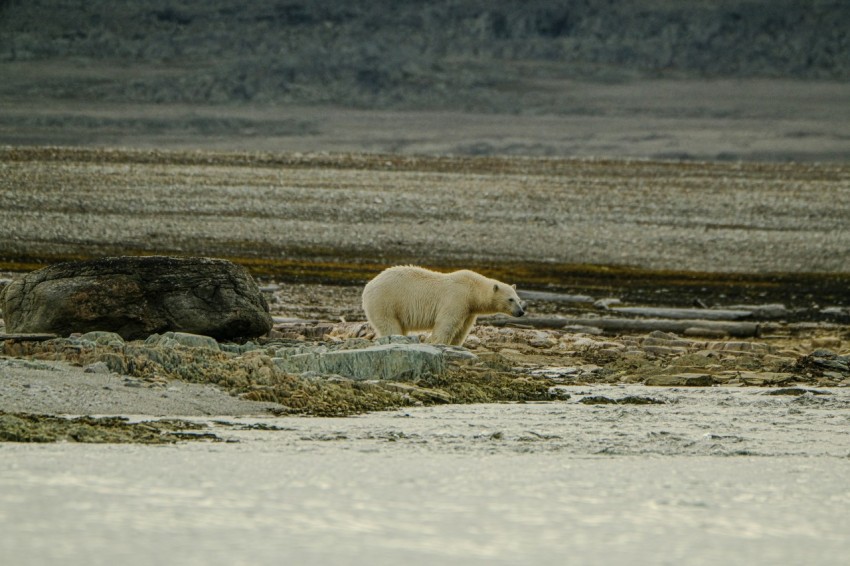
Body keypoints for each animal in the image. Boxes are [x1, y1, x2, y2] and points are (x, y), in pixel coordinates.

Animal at [362, 266, 528, 346]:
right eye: (510, 299)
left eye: (518, 299)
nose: (520, 312)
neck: (472, 289)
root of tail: (369, 285)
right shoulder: (457, 298)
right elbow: (447, 323)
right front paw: (438, 343)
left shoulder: (469, 309)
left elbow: (462, 329)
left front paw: (455, 345)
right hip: (385, 301)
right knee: (389, 324)